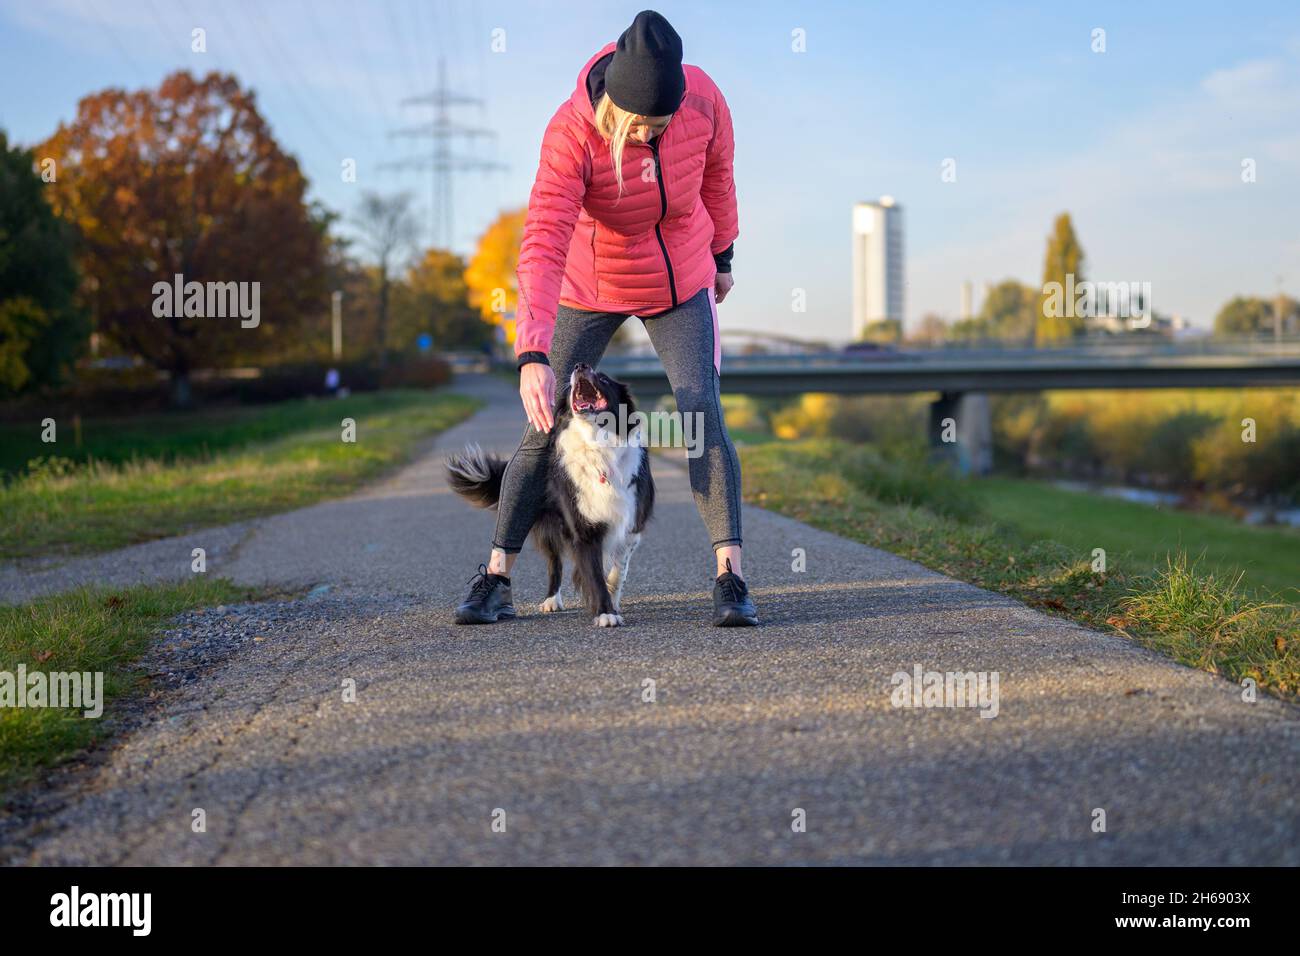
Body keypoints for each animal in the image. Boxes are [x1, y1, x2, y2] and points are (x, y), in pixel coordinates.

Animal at [447, 361, 655, 624]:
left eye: (605, 379)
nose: (580, 365)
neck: (598, 445)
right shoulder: (583, 529)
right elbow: (595, 575)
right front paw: (605, 613)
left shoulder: (631, 525)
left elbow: (618, 571)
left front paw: (612, 601)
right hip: (551, 526)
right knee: (554, 563)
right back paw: (551, 600)